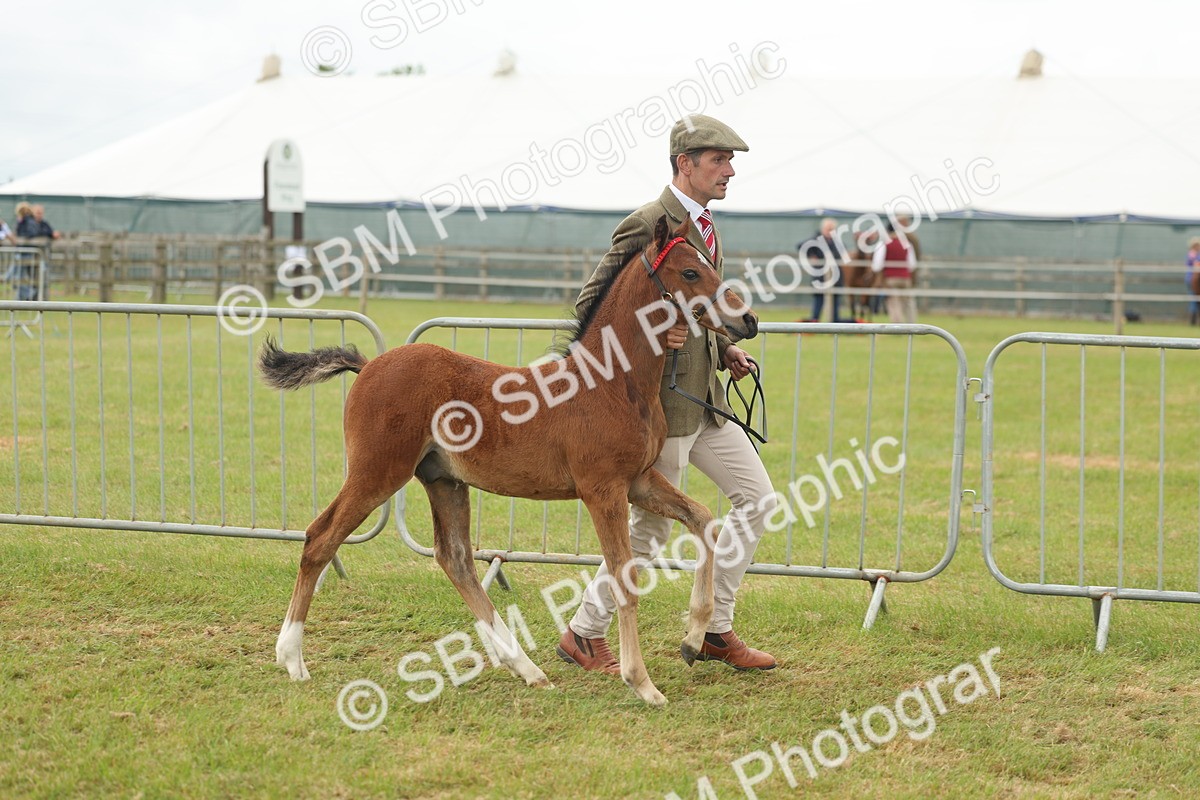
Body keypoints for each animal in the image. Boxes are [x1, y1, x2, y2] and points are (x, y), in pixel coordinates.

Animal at [258, 215, 759, 706]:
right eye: (690, 272)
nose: (748, 320)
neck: (613, 382)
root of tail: (369, 365)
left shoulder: (638, 481)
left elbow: (703, 519)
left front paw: (693, 642)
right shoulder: (602, 489)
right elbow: (624, 576)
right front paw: (642, 683)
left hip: (443, 480)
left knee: (455, 559)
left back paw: (527, 668)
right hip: (377, 472)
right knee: (320, 538)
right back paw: (292, 658)